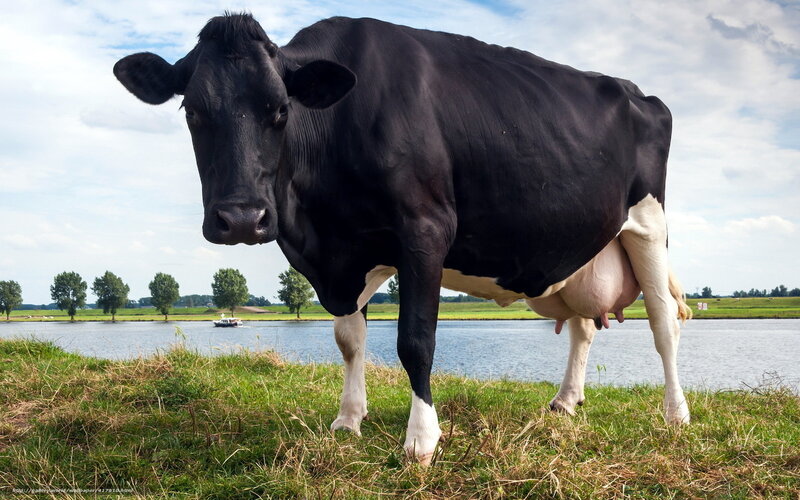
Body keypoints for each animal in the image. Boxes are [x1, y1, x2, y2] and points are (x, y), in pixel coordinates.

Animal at [114, 13, 692, 465]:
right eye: (191, 111)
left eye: (280, 110)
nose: (240, 219)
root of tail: (642, 94)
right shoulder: (345, 254)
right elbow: (349, 341)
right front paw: (348, 420)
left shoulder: (424, 231)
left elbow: (415, 341)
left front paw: (421, 440)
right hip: (578, 251)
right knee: (583, 327)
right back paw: (565, 402)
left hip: (649, 225)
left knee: (664, 324)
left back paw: (676, 414)